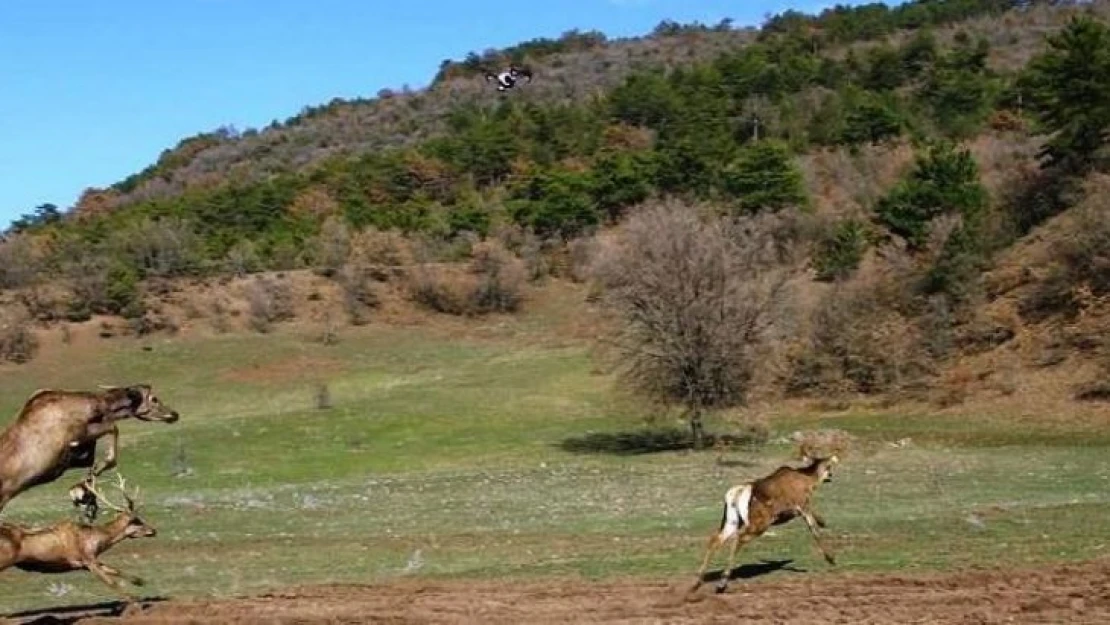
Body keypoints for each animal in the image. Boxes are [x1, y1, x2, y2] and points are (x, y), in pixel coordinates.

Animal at [0, 475, 158, 599]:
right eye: (136, 520)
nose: (153, 530)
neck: (95, 541)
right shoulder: (87, 559)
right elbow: (111, 582)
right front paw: (135, 601)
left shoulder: (87, 561)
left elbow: (116, 570)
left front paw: (139, 581)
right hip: (5, 559)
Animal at [688, 441, 834, 595]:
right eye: (828, 466)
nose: (830, 475)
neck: (808, 481)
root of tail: (736, 494)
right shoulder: (802, 505)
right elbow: (815, 530)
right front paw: (831, 558)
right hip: (760, 522)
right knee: (739, 538)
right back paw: (722, 583)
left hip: (732, 521)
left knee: (715, 539)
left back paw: (697, 583)